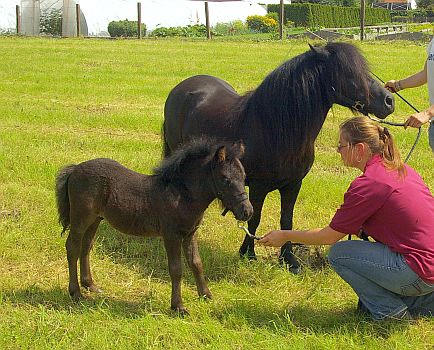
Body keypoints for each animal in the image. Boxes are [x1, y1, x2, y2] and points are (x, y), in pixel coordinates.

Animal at [162, 41, 394, 274]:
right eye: (348, 73)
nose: (389, 100)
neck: (274, 130)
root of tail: (184, 86)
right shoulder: (258, 187)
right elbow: (254, 219)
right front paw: (248, 254)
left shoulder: (293, 185)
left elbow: (287, 220)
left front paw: (288, 259)